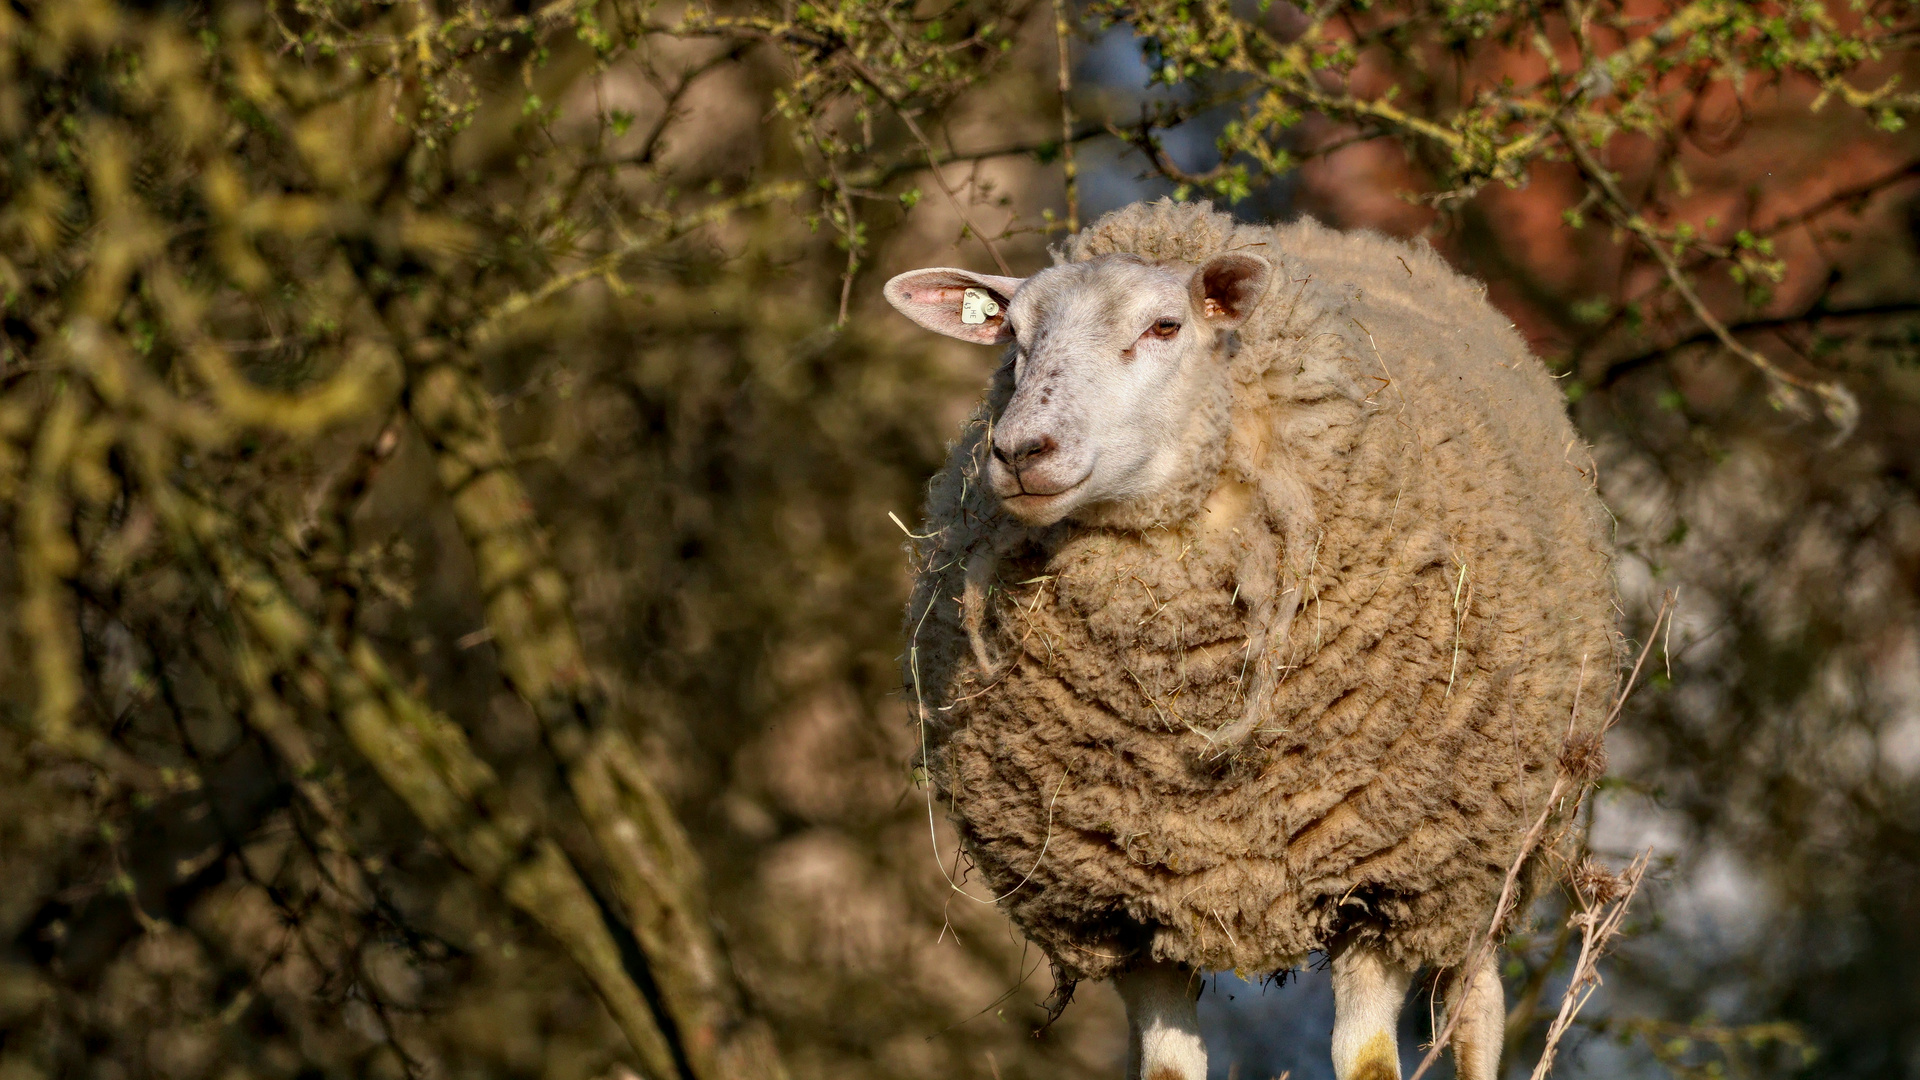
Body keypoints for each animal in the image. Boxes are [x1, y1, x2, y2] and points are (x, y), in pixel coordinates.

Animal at [883, 199, 1620, 1076]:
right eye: (1013, 339)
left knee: (1474, 1008)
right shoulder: (1126, 910)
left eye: (1164, 326)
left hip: (1482, 853)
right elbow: (1168, 1067)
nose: (1021, 452)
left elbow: (1369, 1061)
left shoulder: (1378, 883)